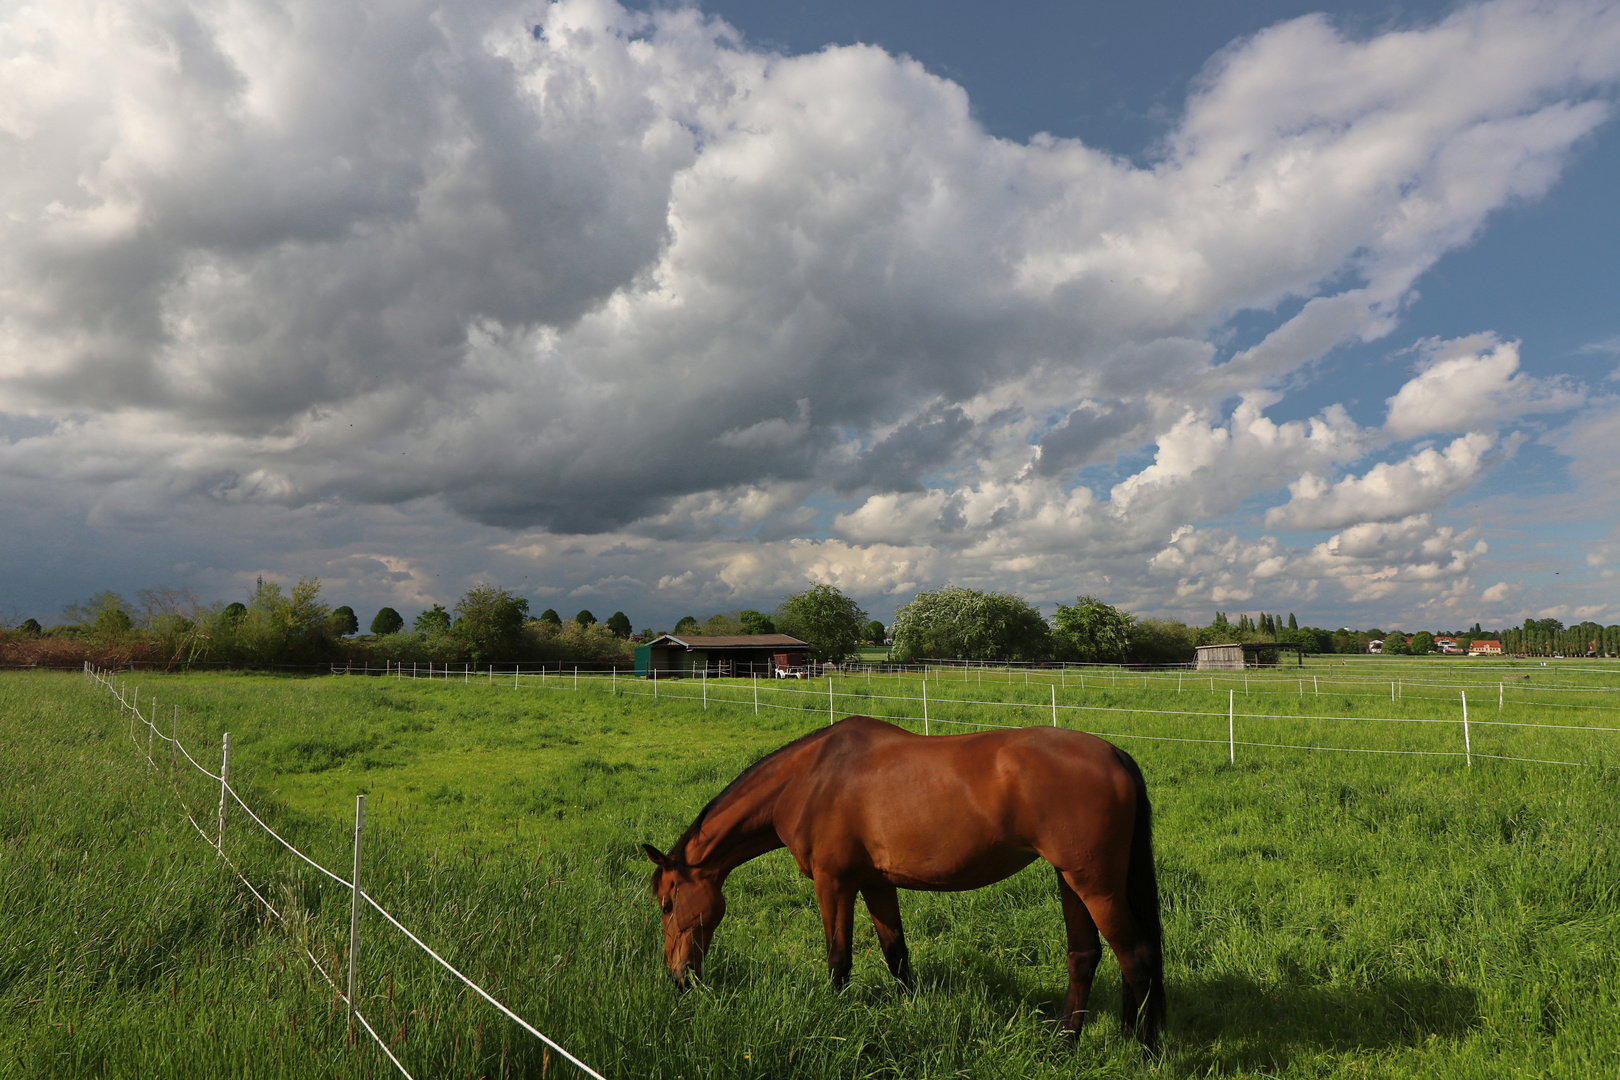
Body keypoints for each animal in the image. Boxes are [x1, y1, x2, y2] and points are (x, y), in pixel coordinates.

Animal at [644, 718, 1166, 1049]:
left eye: (667, 904)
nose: (678, 978)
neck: (809, 778)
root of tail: (1114, 754)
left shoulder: (834, 883)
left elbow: (839, 959)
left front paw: (834, 1019)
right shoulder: (876, 884)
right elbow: (896, 952)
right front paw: (912, 1011)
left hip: (1094, 885)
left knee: (1136, 956)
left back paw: (1146, 1050)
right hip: (1071, 880)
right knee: (1085, 956)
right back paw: (1064, 1043)